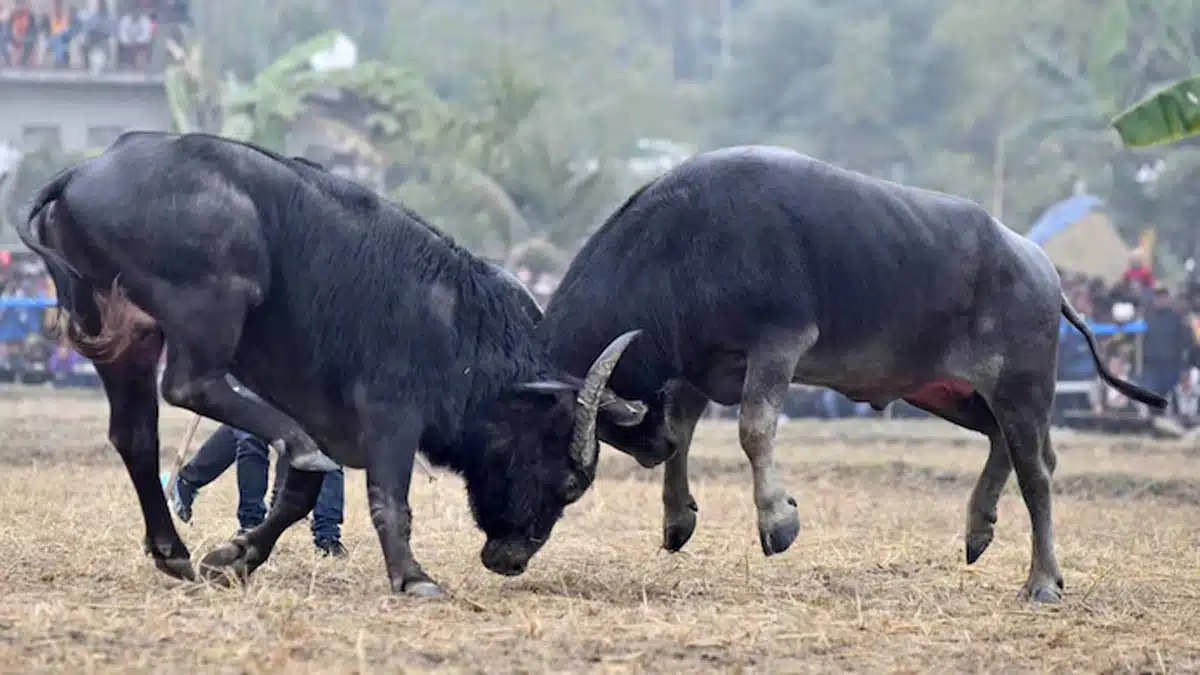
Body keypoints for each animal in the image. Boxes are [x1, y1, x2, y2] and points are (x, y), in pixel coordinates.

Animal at [11, 130, 648, 593]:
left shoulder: (325, 410)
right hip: (214, 297)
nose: (510, 560)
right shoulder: (392, 413)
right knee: (190, 386)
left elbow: (298, 498)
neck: (457, 325)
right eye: (567, 481)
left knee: (136, 436)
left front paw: (235, 556)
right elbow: (389, 498)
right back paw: (288, 446)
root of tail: (84, 172)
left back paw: (173, 551)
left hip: (125, 334)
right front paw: (413, 578)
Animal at [540, 145, 1166, 598]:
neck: (681, 244)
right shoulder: (702, 363)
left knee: (1037, 473)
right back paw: (978, 528)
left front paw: (778, 521)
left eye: (570, 480)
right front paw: (678, 516)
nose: (651, 448)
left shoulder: (779, 343)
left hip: (1022, 388)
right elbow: (690, 423)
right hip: (947, 392)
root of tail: (1043, 270)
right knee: (1003, 444)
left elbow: (752, 428)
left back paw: (1041, 581)